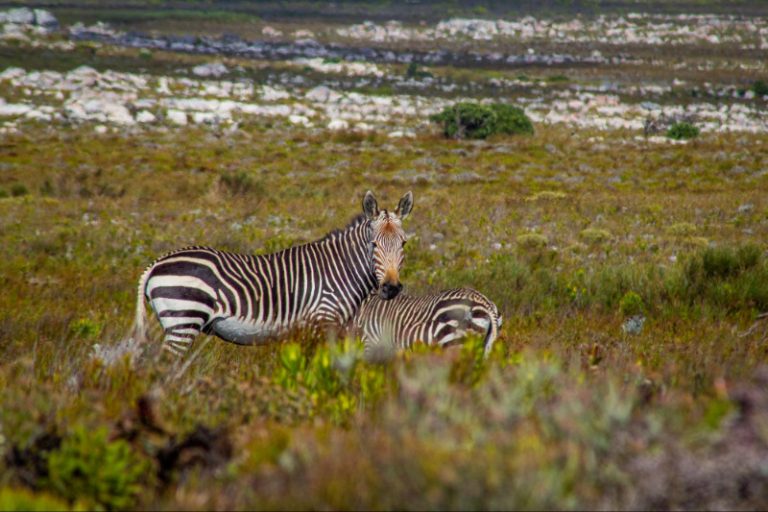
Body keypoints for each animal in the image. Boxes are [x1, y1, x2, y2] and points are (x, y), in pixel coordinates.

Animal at [132, 190, 414, 356]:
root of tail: (156, 264)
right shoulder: (321, 322)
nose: (391, 288)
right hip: (183, 319)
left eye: (403, 244)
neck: (340, 270)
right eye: (374, 245)